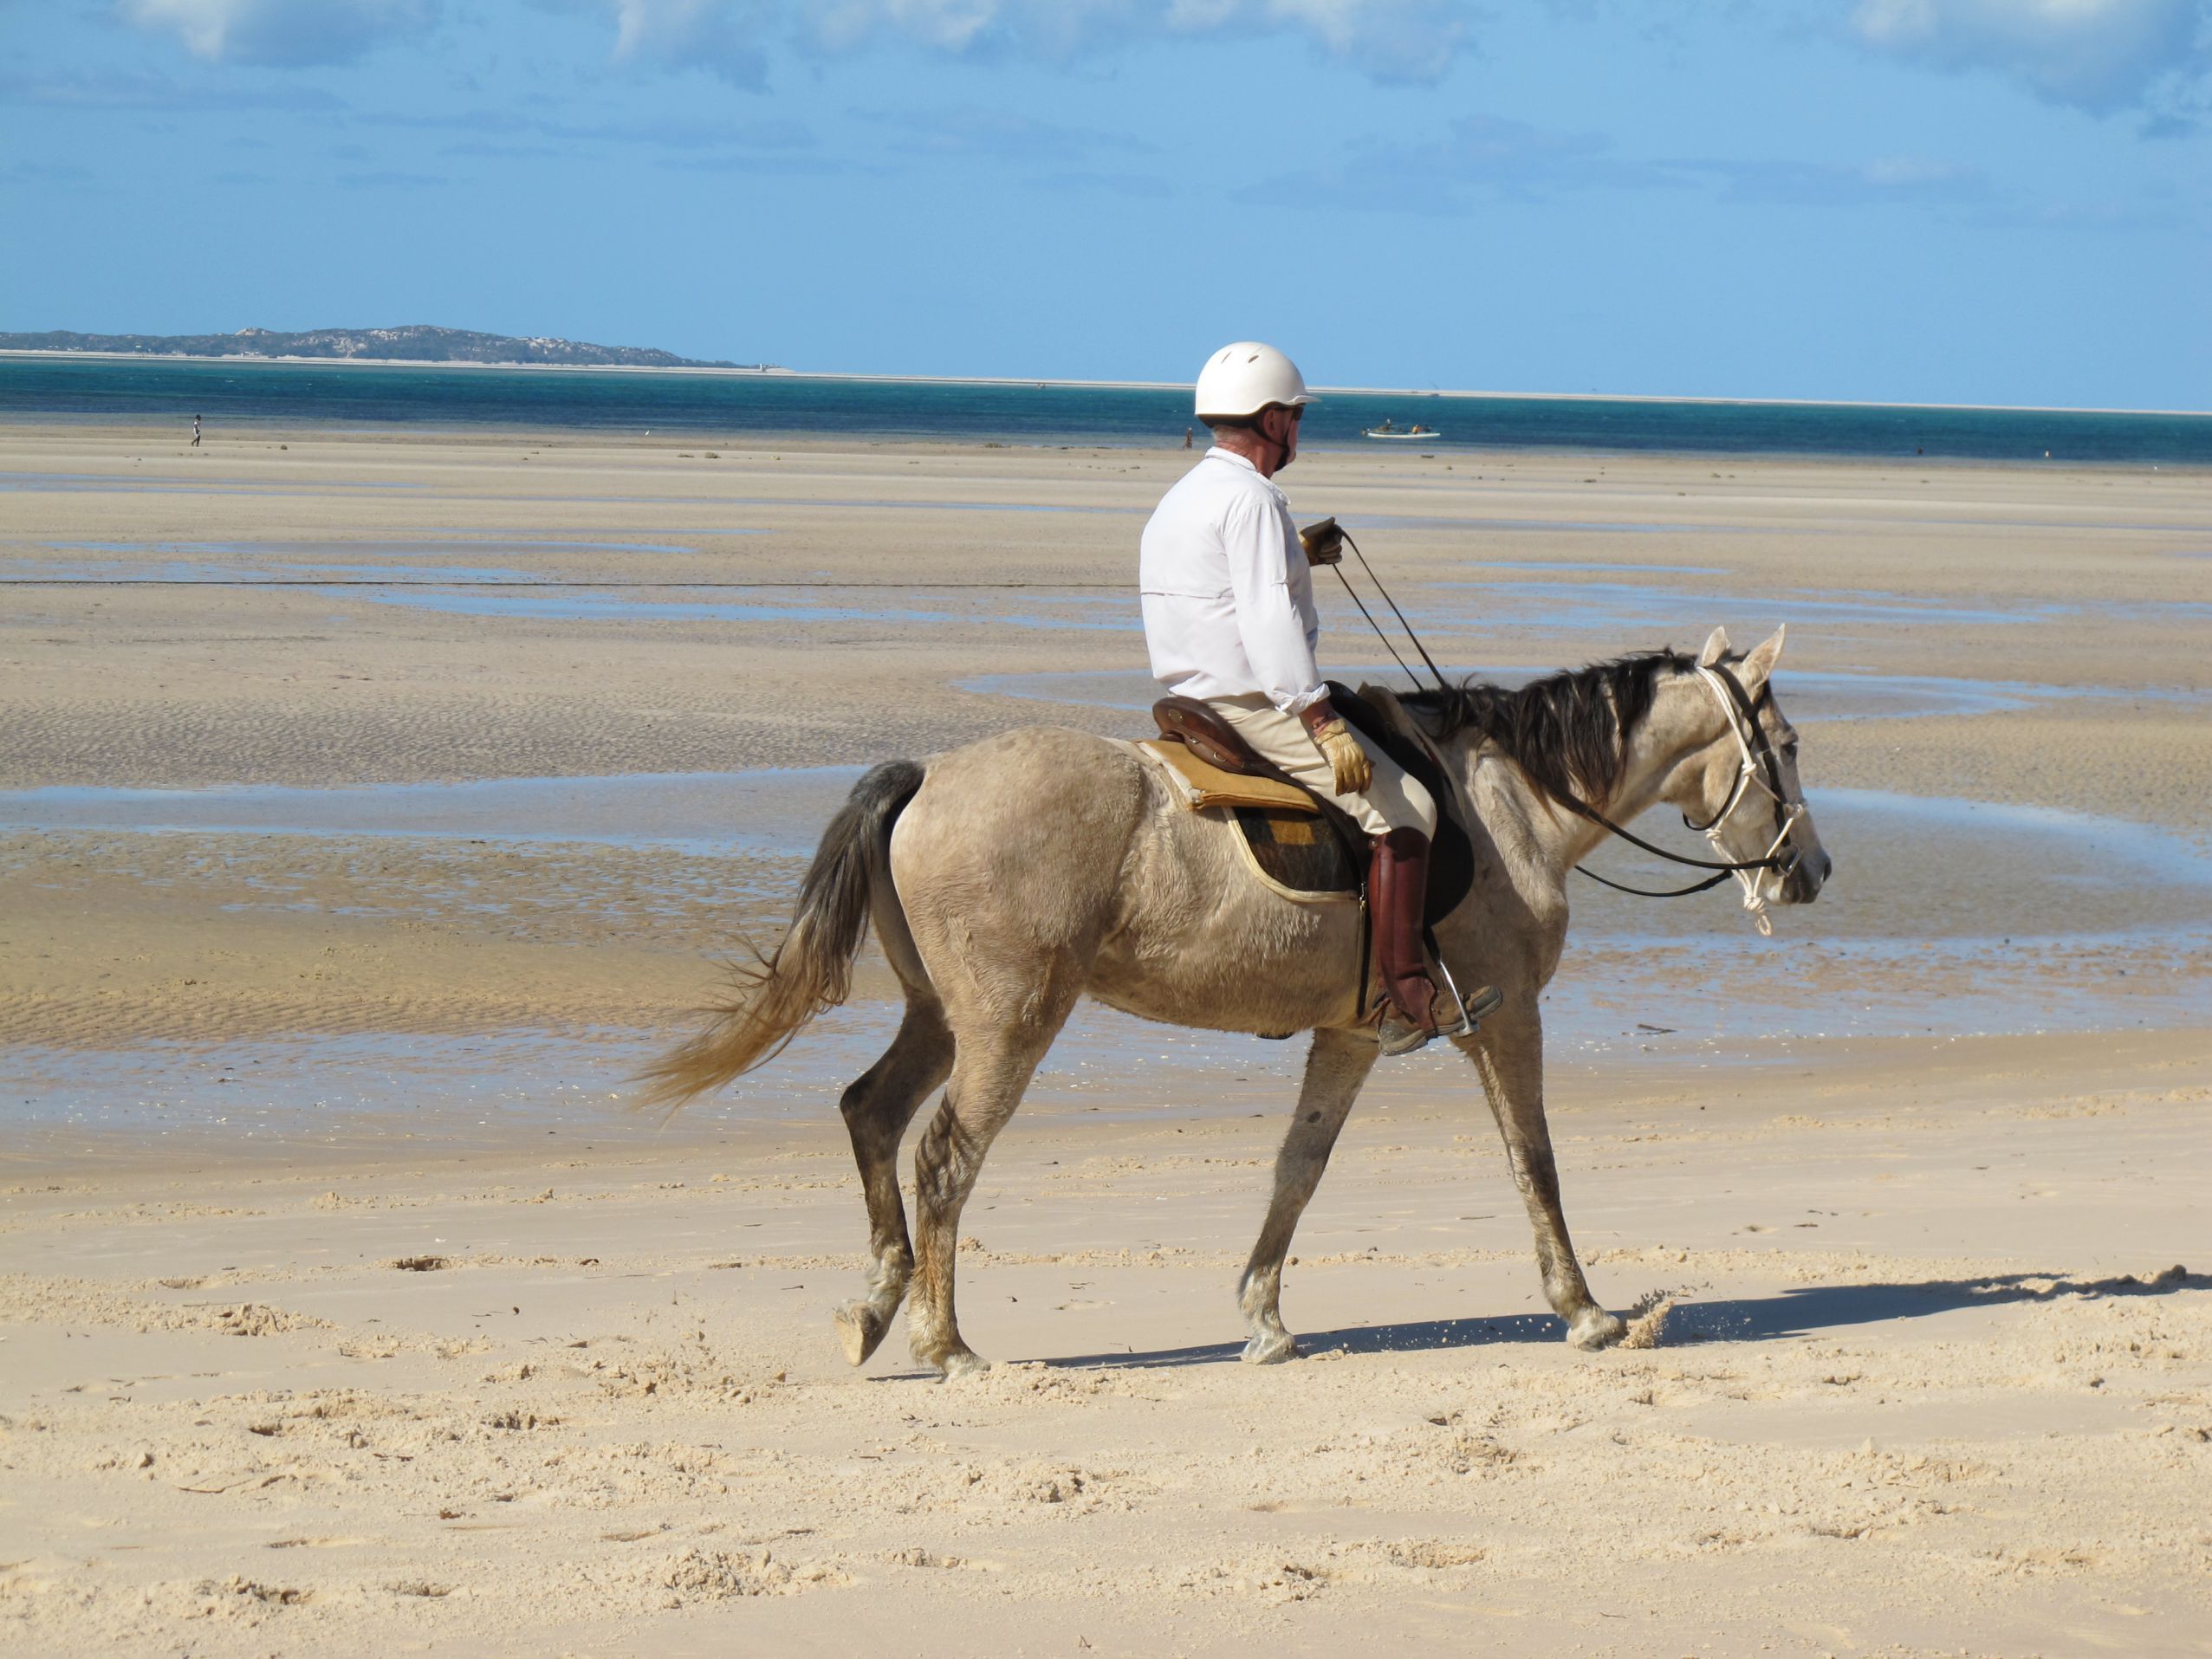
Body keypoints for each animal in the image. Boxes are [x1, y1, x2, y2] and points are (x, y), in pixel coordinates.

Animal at [641, 624, 1831, 1380]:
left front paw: (1262, 1317)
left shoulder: (1352, 1034)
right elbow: (1531, 1157)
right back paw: (948, 1343)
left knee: (872, 1113)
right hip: (1007, 1023)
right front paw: (1584, 1310)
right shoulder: (1505, 1017)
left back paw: (881, 1306)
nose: (1810, 869)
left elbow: (1298, 1168)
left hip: (940, 1017)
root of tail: (930, 775)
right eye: (1786, 745)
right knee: (944, 1155)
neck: (1512, 803)